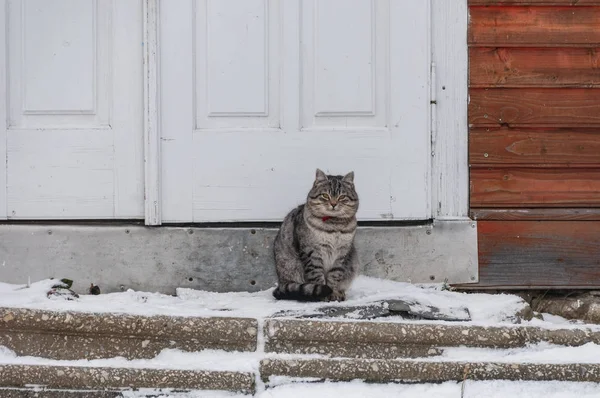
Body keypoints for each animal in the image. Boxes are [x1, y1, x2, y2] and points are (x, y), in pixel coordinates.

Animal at [274, 169, 360, 302]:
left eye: (342, 197)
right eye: (325, 195)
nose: (333, 204)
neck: (333, 225)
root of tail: (281, 282)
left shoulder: (342, 254)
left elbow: (335, 275)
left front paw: (334, 293)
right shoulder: (312, 252)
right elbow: (317, 275)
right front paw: (323, 294)